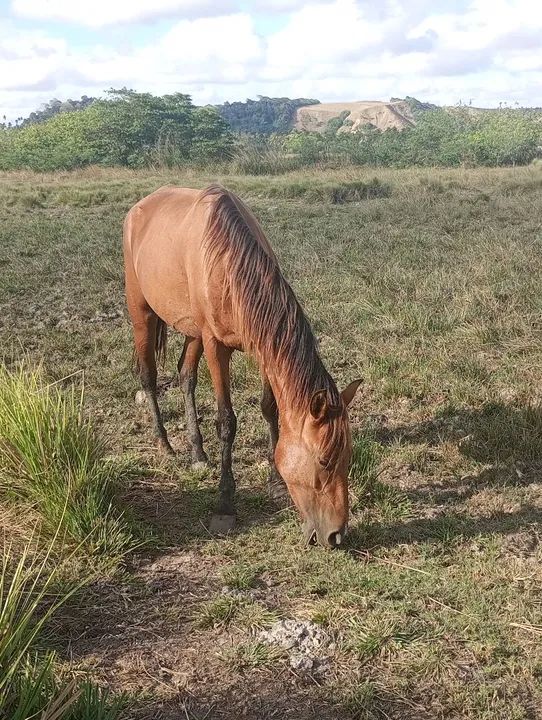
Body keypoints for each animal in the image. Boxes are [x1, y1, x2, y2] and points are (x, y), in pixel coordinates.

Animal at [123, 184, 361, 548]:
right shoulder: (215, 345)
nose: (336, 535)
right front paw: (225, 503)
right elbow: (226, 421)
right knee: (149, 376)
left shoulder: (261, 347)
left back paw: (198, 454)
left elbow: (270, 408)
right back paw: (165, 445)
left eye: (348, 456)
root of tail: (138, 208)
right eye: (324, 460)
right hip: (142, 313)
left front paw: (276, 482)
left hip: (191, 330)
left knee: (186, 377)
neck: (226, 262)